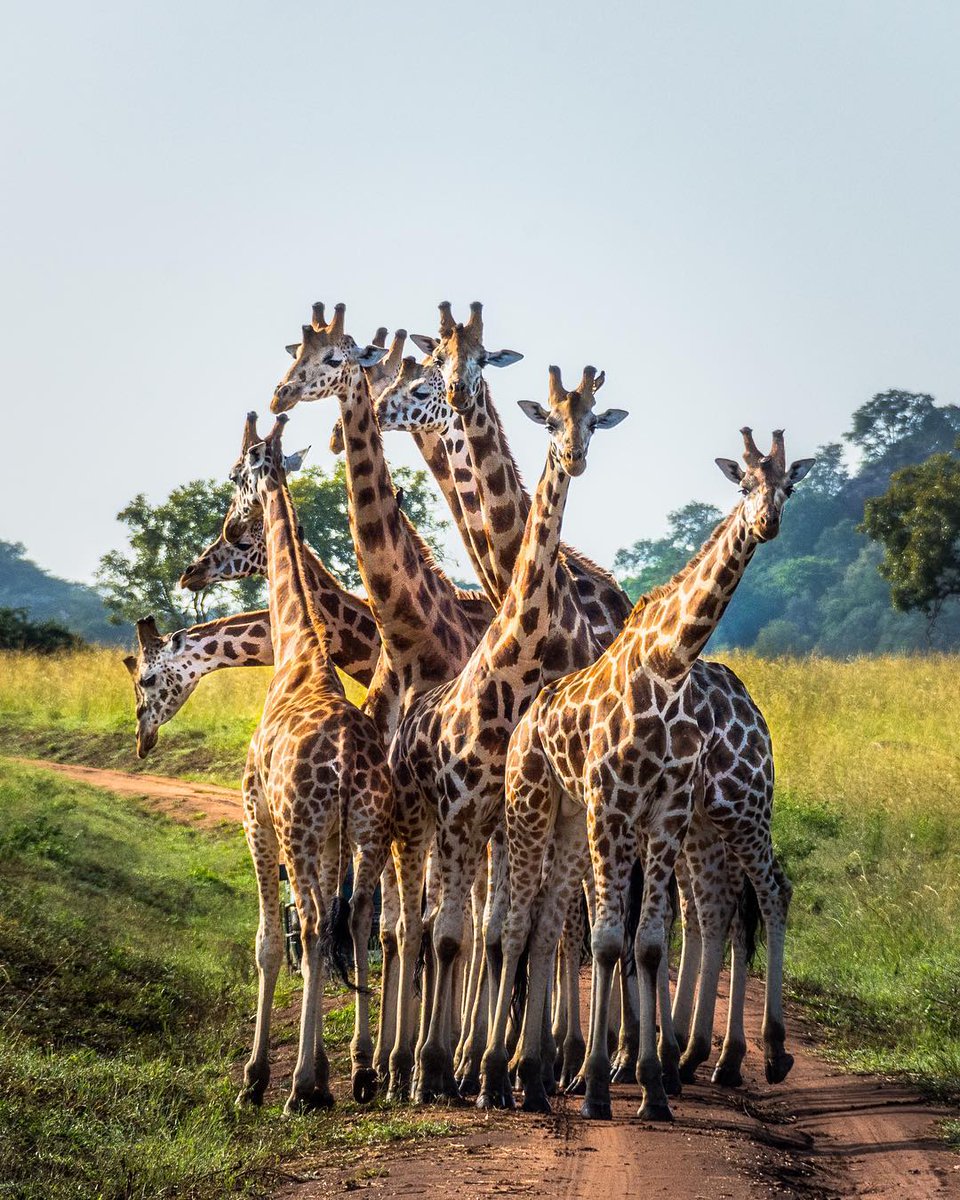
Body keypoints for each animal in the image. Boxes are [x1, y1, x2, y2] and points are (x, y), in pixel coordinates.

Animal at [386, 365, 627, 1103]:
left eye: (595, 417)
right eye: (548, 418)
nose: (575, 456)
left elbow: (514, 928)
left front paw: (496, 1063)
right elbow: (486, 929)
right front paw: (481, 1063)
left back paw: (613, 1061)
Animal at [488, 428, 814, 1121]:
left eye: (788, 487)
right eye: (744, 484)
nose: (767, 522)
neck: (668, 664)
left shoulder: (665, 811)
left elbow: (648, 943)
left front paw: (649, 1086)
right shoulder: (614, 807)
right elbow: (610, 942)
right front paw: (598, 1085)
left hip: (729, 810)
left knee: (751, 895)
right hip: (537, 809)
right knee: (521, 923)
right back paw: (500, 1076)